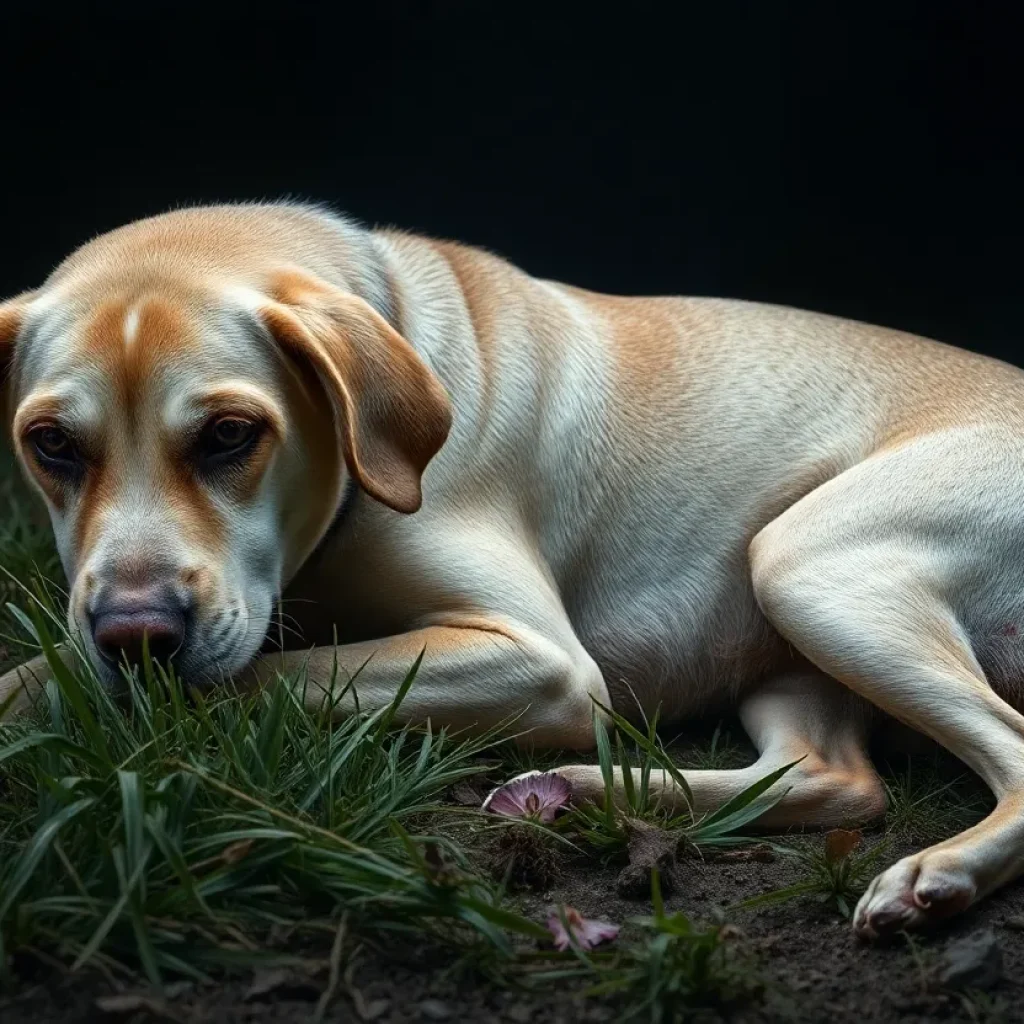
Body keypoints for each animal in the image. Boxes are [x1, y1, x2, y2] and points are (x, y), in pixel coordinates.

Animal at [2, 201, 1024, 937]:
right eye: (51, 444)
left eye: (228, 435)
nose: (135, 634)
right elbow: (49, 673)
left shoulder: (537, 657)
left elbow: (257, 678)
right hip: (786, 643)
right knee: (835, 778)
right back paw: (583, 793)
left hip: (807, 564)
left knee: (1004, 751)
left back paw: (938, 875)